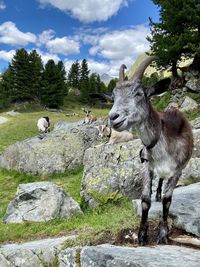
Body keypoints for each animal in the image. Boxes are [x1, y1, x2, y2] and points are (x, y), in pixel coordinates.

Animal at [108, 56, 193, 247]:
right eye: (113, 96)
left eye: (139, 93)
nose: (113, 117)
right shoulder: (147, 166)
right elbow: (145, 200)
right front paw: (142, 236)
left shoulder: (178, 170)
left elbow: (167, 201)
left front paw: (163, 234)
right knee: (159, 180)